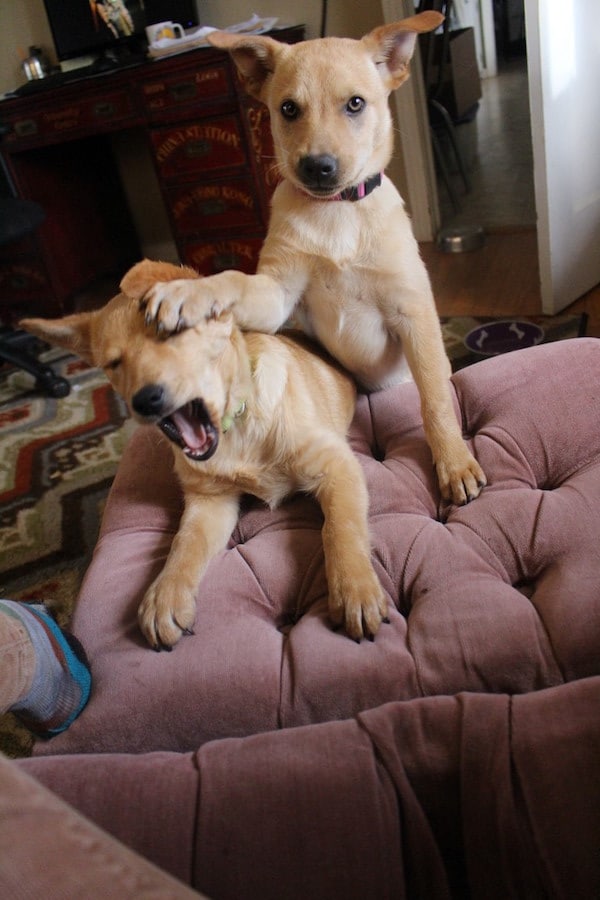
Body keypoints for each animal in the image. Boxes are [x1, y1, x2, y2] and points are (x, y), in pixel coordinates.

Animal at [138, 10, 486, 506]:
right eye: (288, 109)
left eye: (356, 104)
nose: (318, 168)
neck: (335, 212)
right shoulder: (277, 295)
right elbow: (232, 278)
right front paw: (188, 291)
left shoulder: (413, 313)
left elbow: (435, 399)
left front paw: (454, 464)